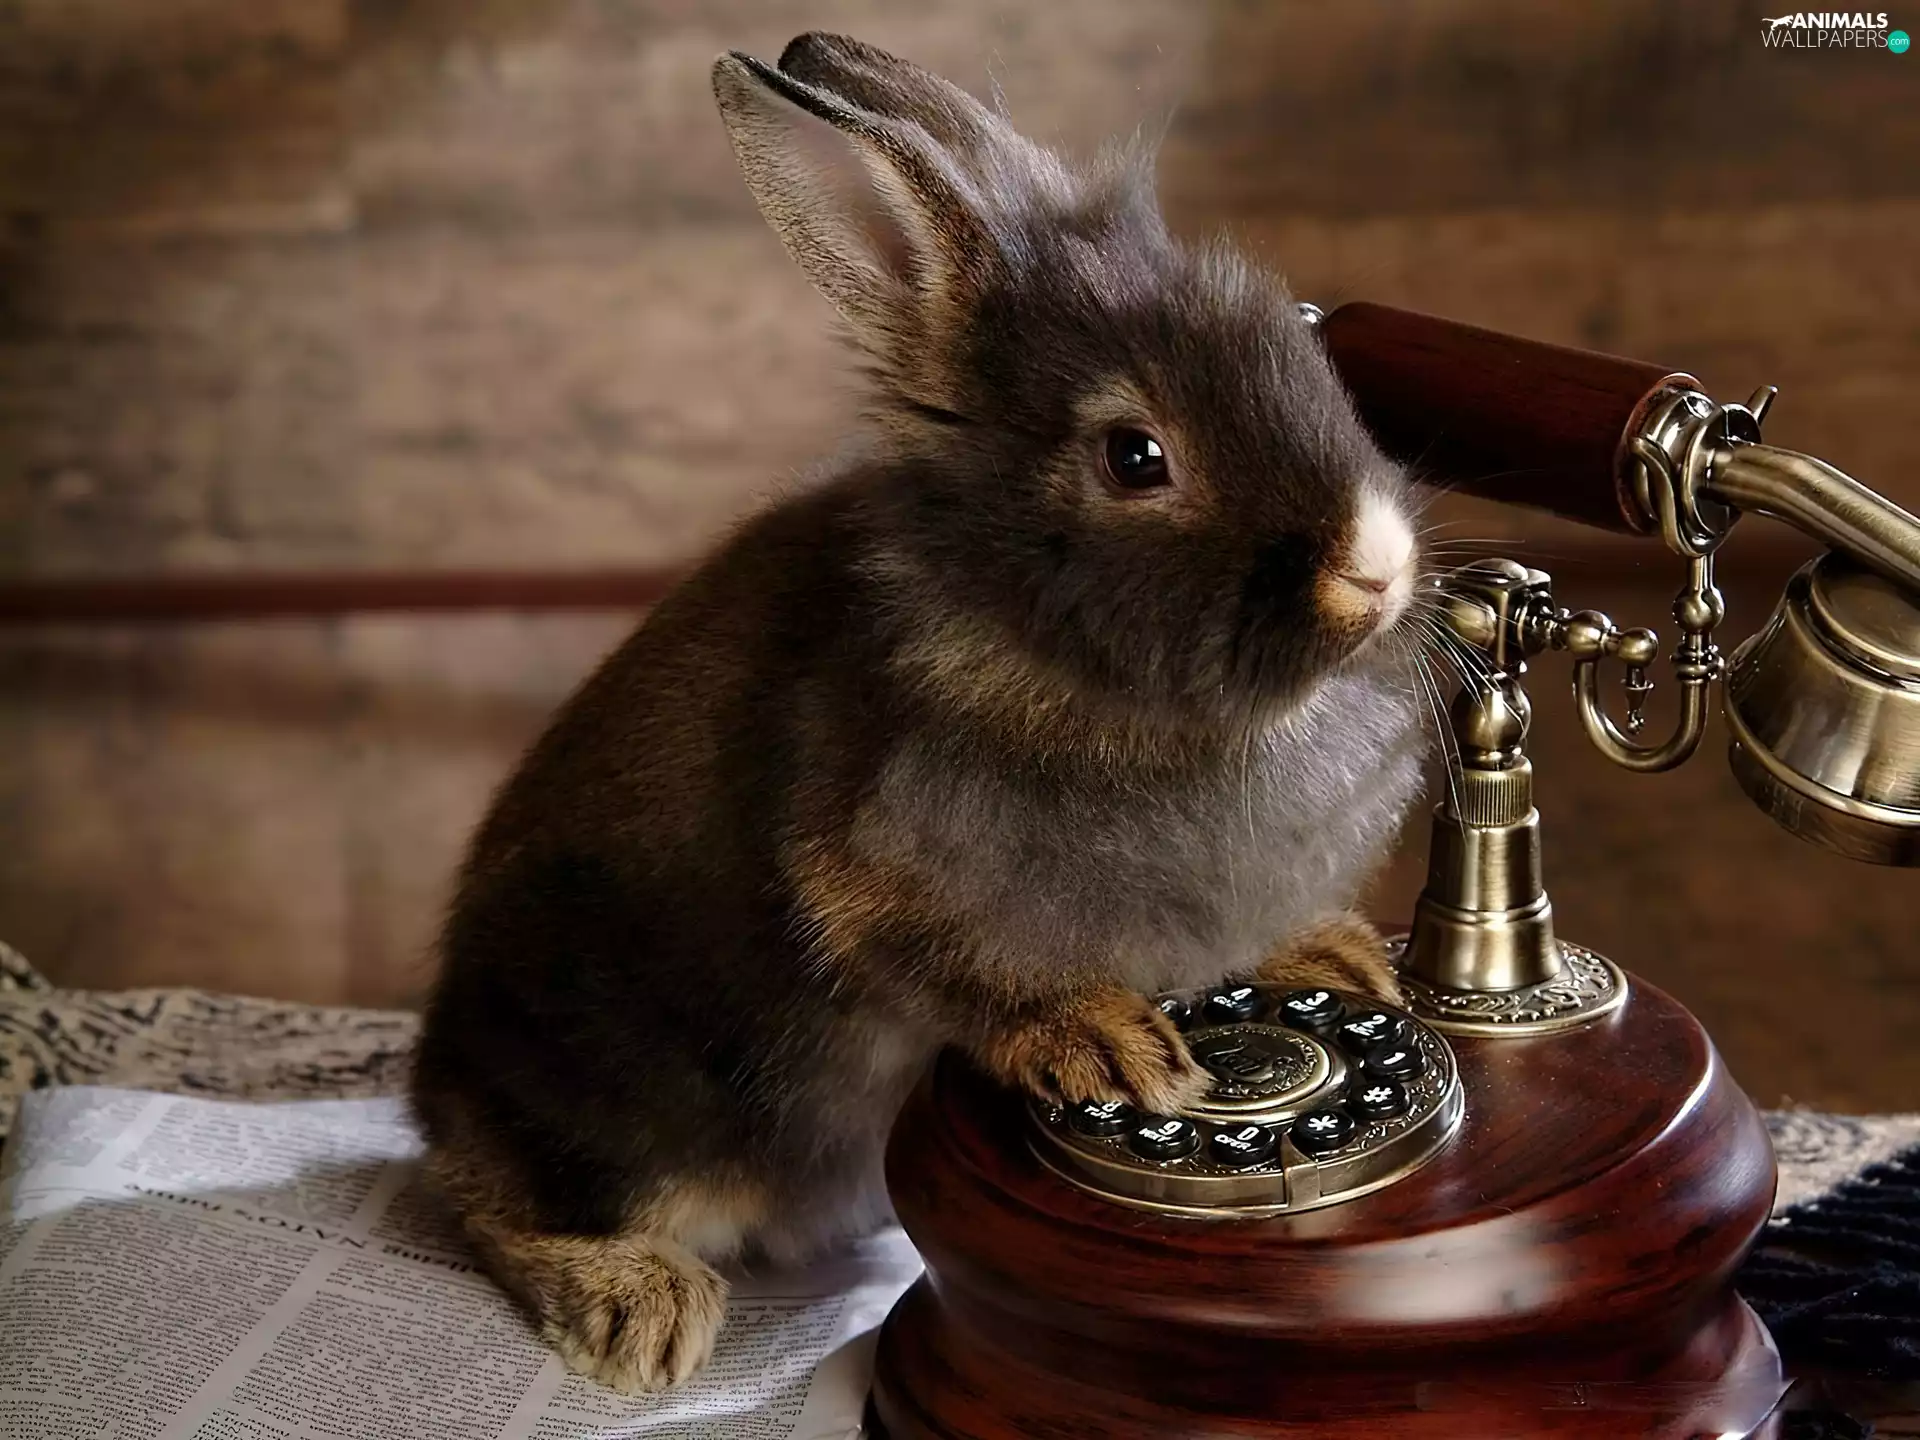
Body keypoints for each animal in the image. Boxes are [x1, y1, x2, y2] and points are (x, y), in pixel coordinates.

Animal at [409, 31, 1432, 1395]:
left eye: (1306, 348)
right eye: (1137, 457)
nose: (1377, 568)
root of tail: (442, 1070)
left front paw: (1338, 960)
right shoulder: (869, 880)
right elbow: (963, 972)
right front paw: (1108, 1047)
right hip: (621, 1087)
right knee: (496, 1197)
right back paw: (642, 1313)